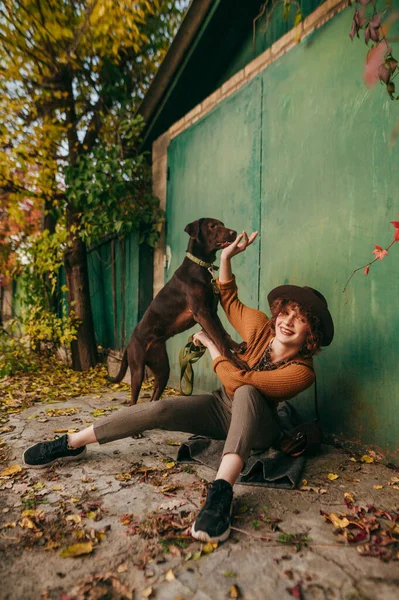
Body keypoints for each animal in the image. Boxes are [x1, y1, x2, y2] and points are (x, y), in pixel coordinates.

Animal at [109, 218, 247, 406]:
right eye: (212, 226)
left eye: (222, 224)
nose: (234, 232)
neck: (200, 265)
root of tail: (129, 344)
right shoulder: (202, 313)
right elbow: (219, 339)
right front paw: (235, 362)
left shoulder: (212, 311)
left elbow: (224, 334)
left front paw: (237, 347)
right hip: (137, 370)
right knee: (133, 400)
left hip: (162, 369)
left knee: (154, 395)